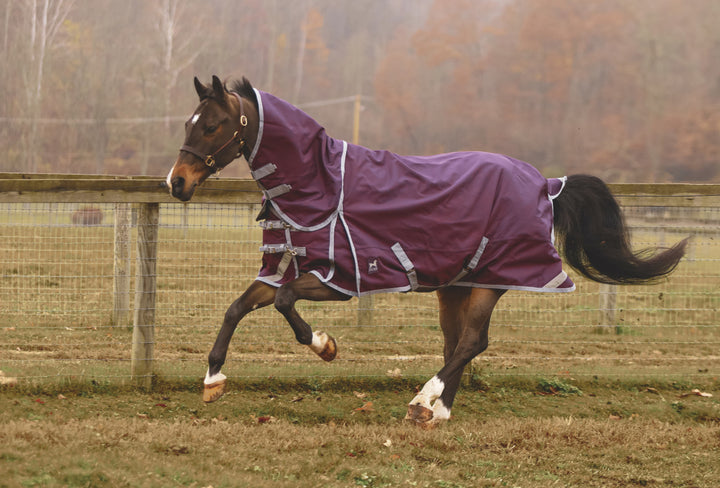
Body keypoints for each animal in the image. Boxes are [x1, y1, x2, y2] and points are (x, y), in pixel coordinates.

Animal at [166, 74, 688, 426]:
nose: (176, 183)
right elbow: (237, 307)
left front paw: (325, 346)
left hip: (491, 281)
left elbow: (284, 302)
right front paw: (212, 381)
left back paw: (423, 400)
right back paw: (439, 412)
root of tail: (546, 184)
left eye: (212, 125)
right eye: (189, 122)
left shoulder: (339, 279)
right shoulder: (282, 267)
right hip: (455, 286)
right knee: (458, 342)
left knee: (472, 342)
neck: (322, 184)